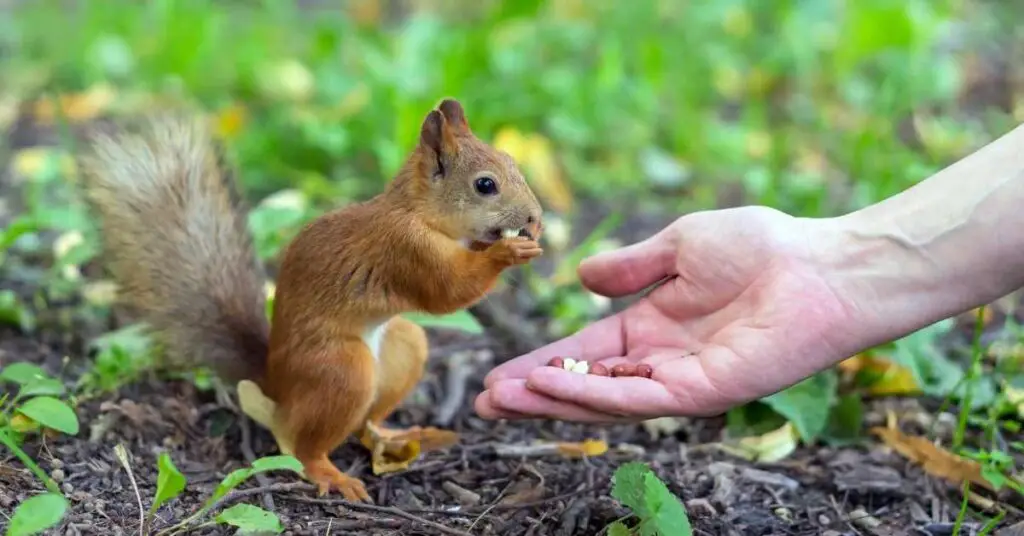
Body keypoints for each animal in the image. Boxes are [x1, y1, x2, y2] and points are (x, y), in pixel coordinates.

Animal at [77, 98, 544, 502]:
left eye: (514, 163)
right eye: (485, 185)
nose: (535, 217)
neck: (419, 212)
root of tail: (276, 382)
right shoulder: (407, 251)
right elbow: (447, 292)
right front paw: (508, 251)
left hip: (403, 347)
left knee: (365, 425)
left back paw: (400, 436)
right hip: (342, 369)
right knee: (304, 447)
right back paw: (330, 474)